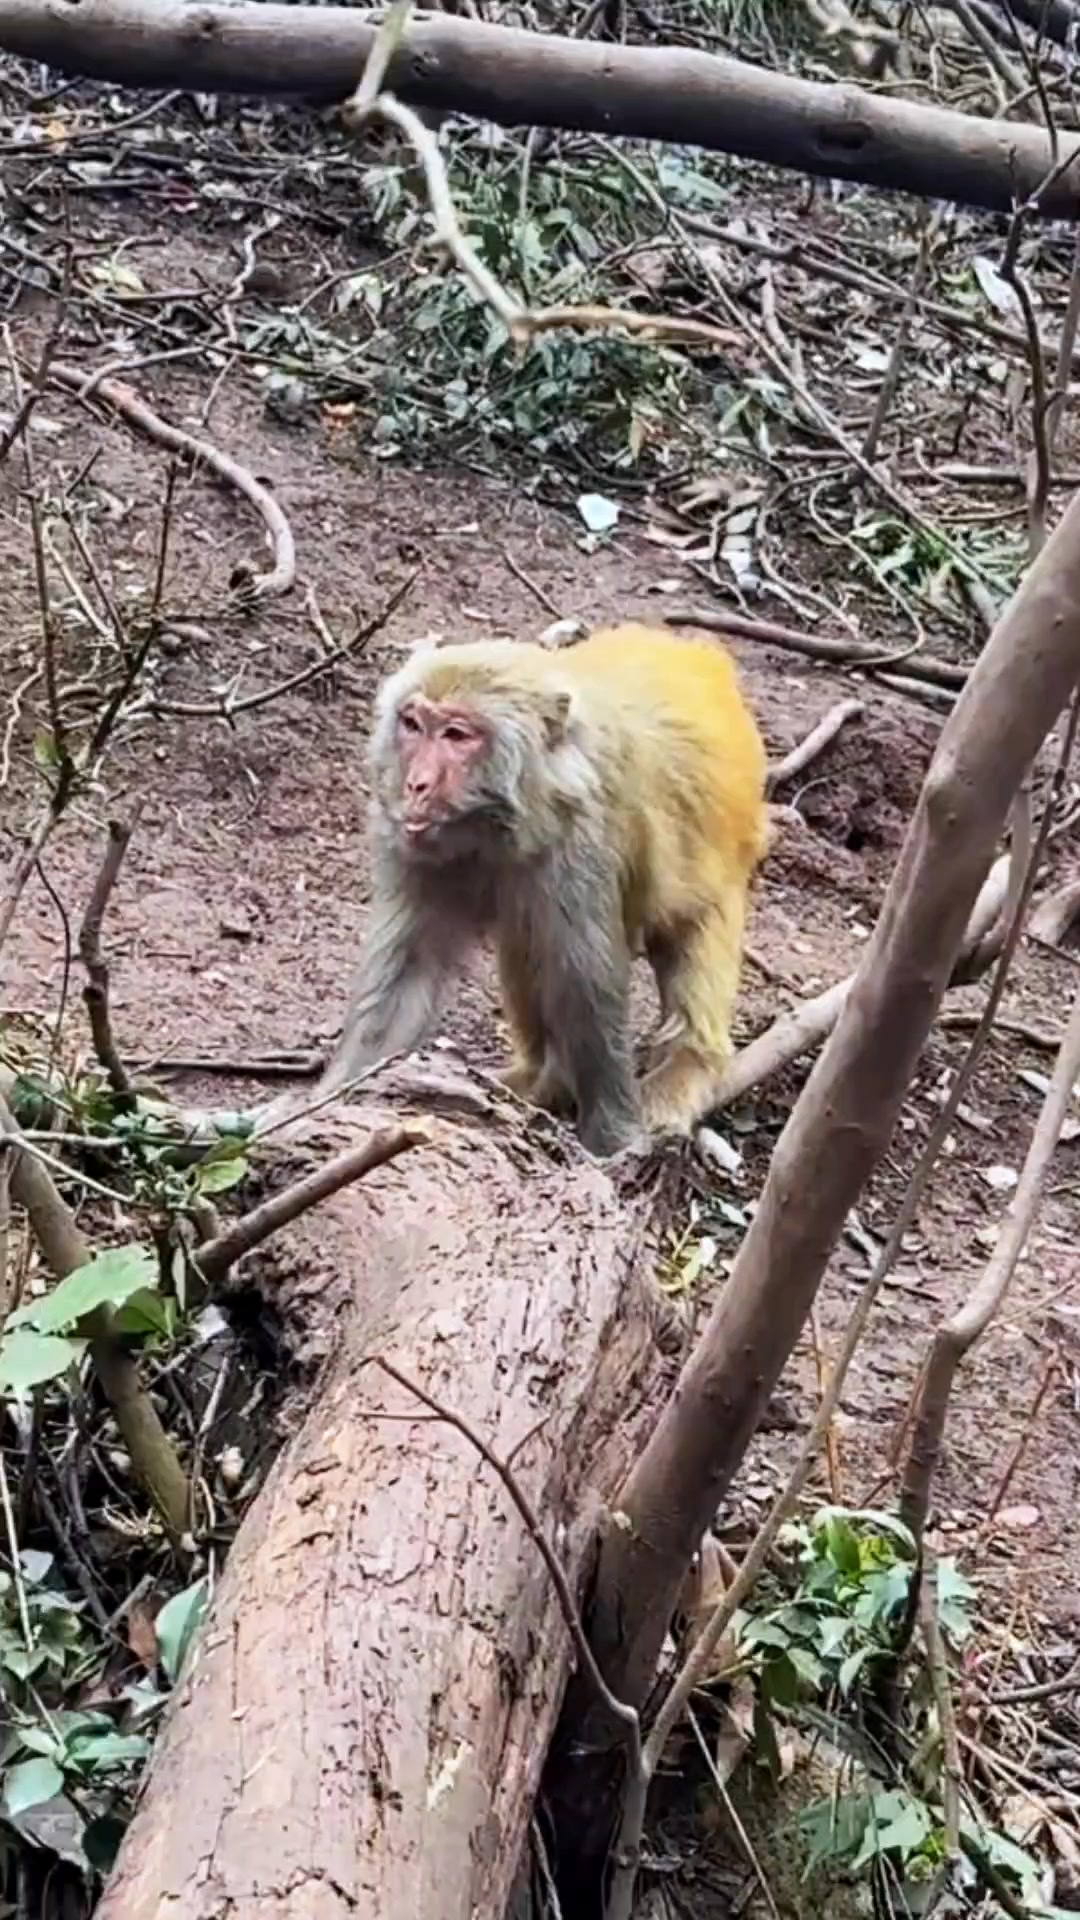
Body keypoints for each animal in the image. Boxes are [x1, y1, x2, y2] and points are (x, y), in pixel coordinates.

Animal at [273, 622, 768, 1158]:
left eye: (456, 735)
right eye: (412, 724)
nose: (416, 784)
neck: (499, 824)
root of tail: (699, 656)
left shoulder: (581, 843)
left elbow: (585, 982)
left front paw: (614, 1137)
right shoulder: (408, 840)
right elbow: (408, 970)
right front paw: (328, 1100)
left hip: (725, 855)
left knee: (689, 937)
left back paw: (688, 1062)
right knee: (522, 943)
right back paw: (541, 1078)